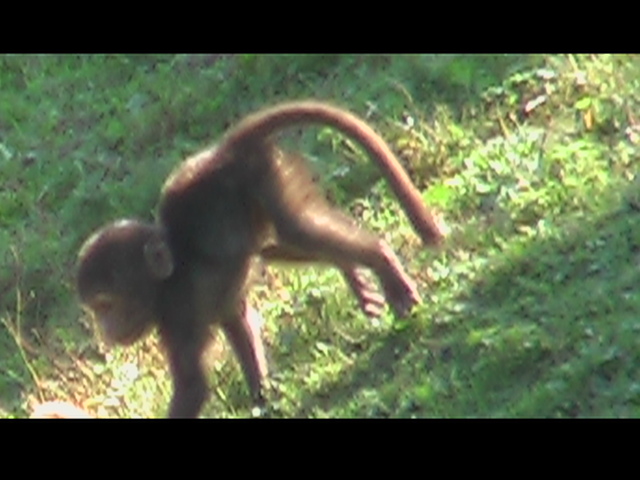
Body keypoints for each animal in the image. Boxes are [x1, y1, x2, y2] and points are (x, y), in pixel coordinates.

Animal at [77, 101, 445, 418]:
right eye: (96, 309)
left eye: (108, 305)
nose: (104, 330)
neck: (167, 278)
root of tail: (225, 151)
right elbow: (236, 318)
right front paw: (262, 400)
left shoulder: (176, 313)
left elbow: (193, 386)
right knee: (273, 245)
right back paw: (351, 269)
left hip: (261, 176)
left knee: (296, 231)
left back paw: (381, 259)